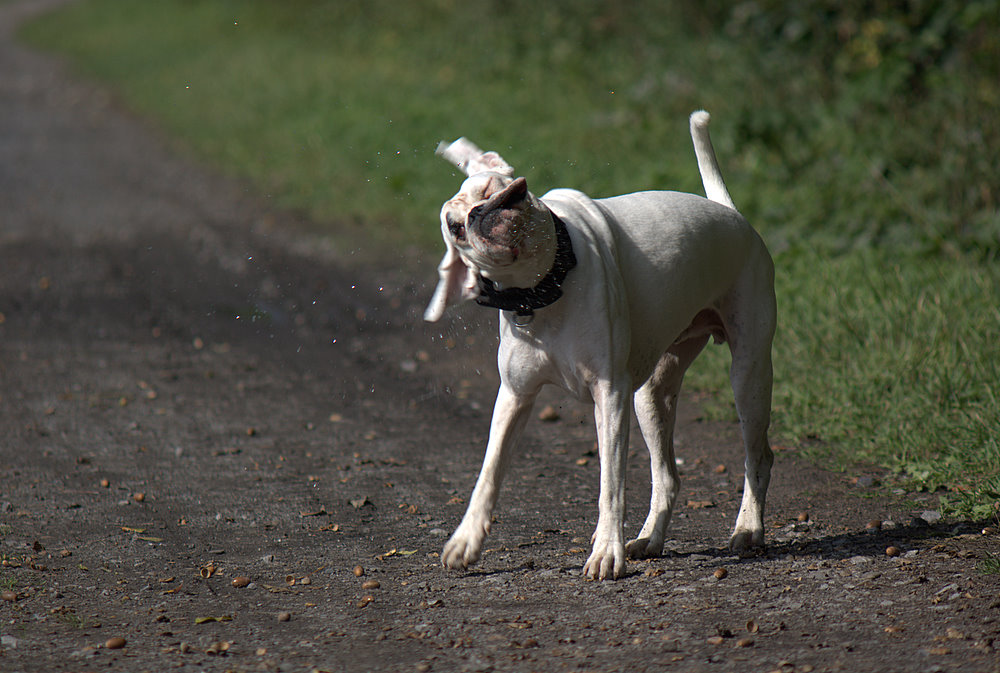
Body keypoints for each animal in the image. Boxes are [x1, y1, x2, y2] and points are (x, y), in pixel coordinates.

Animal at [426, 110, 776, 576]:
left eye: (488, 189)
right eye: (456, 229)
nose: (481, 211)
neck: (546, 288)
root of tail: (729, 212)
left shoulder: (608, 396)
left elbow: (610, 482)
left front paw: (606, 551)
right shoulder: (514, 397)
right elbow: (489, 473)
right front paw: (466, 541)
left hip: (748, 375)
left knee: (758, 457)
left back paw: (748, 528)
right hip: (651, 396)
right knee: (667, 476)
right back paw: (649, 538)